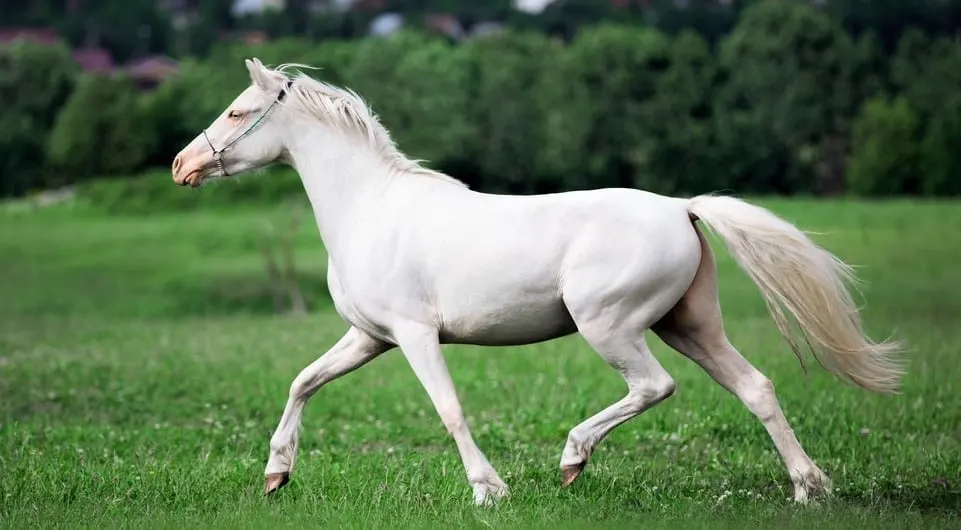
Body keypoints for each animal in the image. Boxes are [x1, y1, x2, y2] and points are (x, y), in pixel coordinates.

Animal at [171, 58, 904, 507]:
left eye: (236, 112)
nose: (182, 165)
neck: (369, 208)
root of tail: (682, 208)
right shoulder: (368, 337)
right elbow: (303, 382)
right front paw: (276, 474)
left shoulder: (414, 335)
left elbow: (448, 408)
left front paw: (488, 491)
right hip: (689, 325)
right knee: (756, 388)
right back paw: (809, 487)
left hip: (609, 325)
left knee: (655, 386)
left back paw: (572, 458)